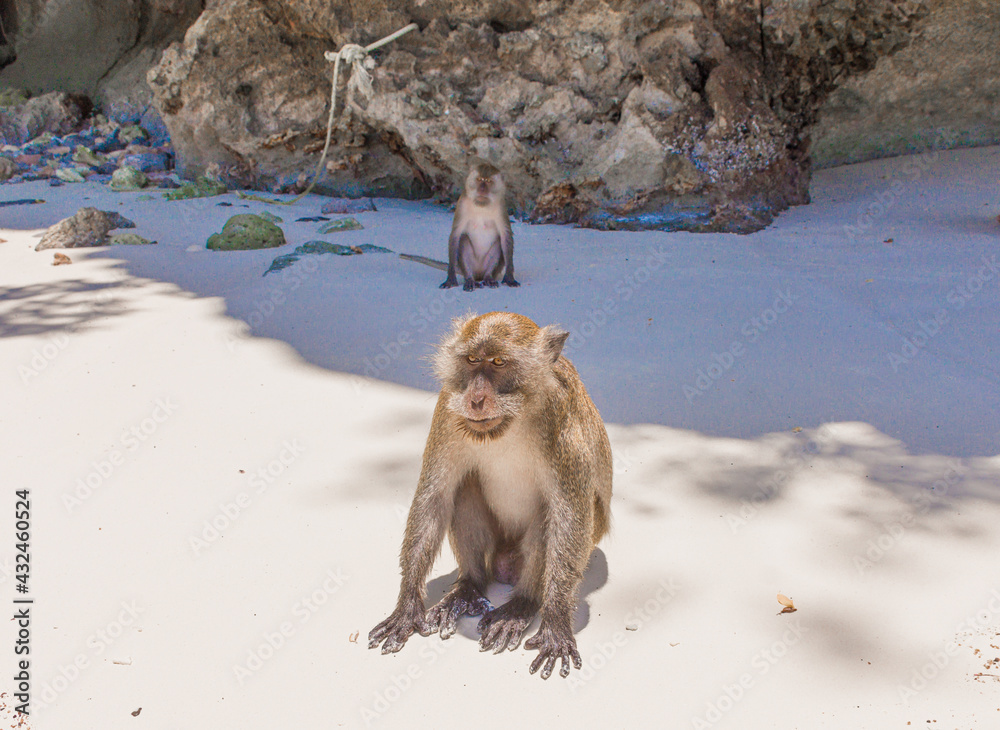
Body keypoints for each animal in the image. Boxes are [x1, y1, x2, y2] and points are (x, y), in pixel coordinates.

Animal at [368, 312, 612, 679]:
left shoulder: (559, 414)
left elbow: (570, 515)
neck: (512, 419)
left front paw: (555, 621)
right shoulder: (448, 406)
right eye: (471, 360)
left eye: (498, 362)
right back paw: (469, 586)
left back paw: (523, 604)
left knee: (548, 514)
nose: (476, 399)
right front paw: (407, 605)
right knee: (464, 488)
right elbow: (435, 496)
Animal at [440, 161, 520, 291]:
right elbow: (456, 234)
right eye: (479, 179)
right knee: (463, 239)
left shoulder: (501, 206)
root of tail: (478, 275)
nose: (482, 189)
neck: (481, 205)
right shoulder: (461, 204)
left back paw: (488, 278)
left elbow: (505, 235)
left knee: (498, 243)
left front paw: (509, 277)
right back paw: (470, 280)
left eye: (488, 181)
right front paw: (451, 278)